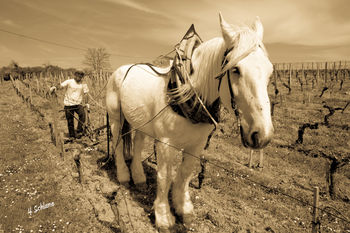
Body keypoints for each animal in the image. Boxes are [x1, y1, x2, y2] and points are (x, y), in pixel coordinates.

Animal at [105, 13, 274, 232]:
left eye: (270, 72)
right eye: (236, 69)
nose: (262, 135)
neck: (186, 94)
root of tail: (121, 69)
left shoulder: (197, 144)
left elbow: (185, 173)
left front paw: (183, 209)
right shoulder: (166, 144)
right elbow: (165, 176)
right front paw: (163, 216)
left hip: (142, 121)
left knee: (138, 142)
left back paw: (139, 177)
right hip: (116, 117)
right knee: (117, 143)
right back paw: (124, 175)